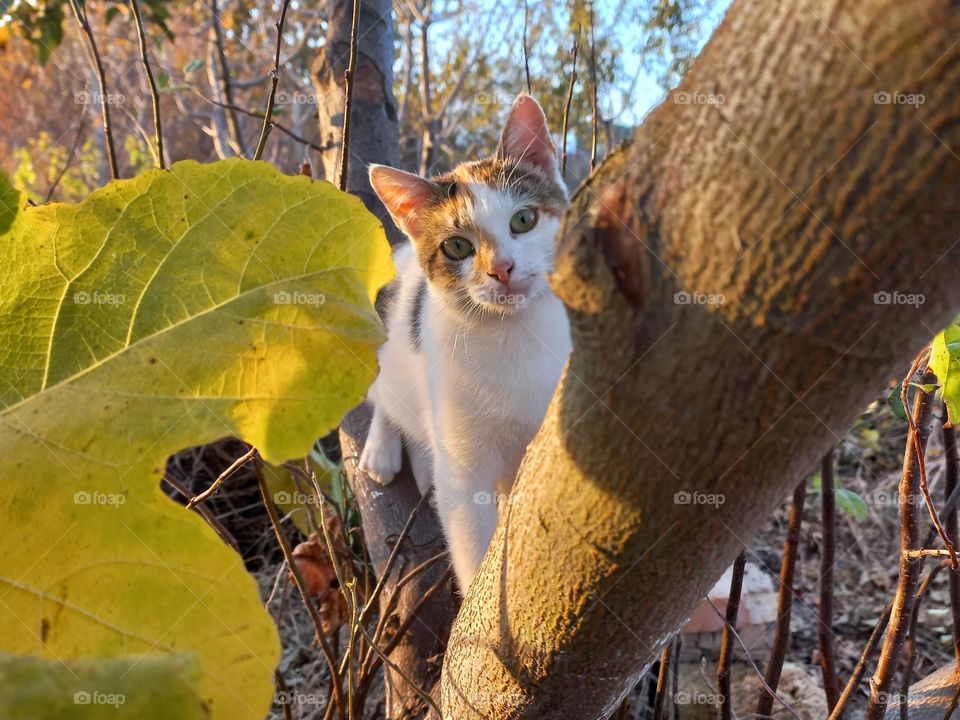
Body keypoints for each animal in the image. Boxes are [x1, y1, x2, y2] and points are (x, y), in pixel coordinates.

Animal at [358, 94, 568, 592]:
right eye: (457, 247)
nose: (502, 269)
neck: (514, 331)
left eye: (524, 220)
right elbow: (469, 532)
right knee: (386, 400)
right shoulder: (464, 470)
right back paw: (383, 450)